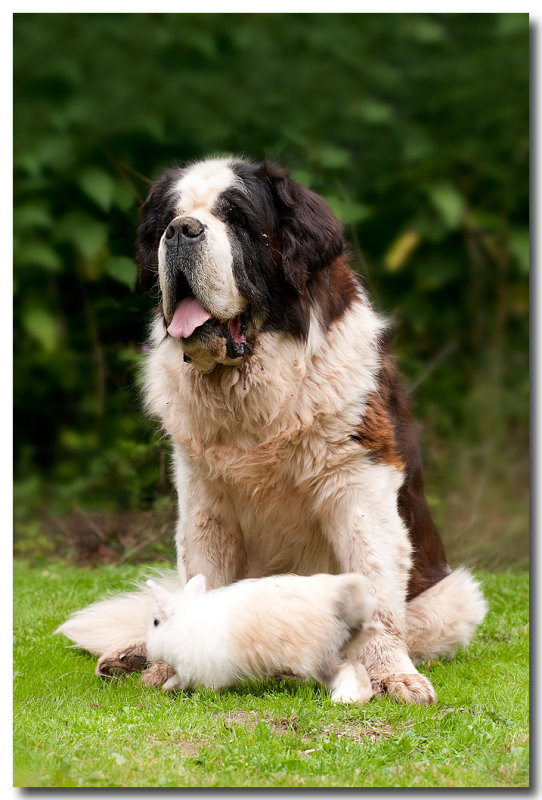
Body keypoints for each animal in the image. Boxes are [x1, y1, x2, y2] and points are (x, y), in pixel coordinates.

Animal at [58, 155, 488, 700]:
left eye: (238, 219)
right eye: (167, 220)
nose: (181, 231)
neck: (252, 396)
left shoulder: (359, 482)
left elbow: (375, 589)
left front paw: (392, 674)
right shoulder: (204, 501)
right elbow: (200, 578)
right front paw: (166, 661)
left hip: (451, 596)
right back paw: (135, 654)